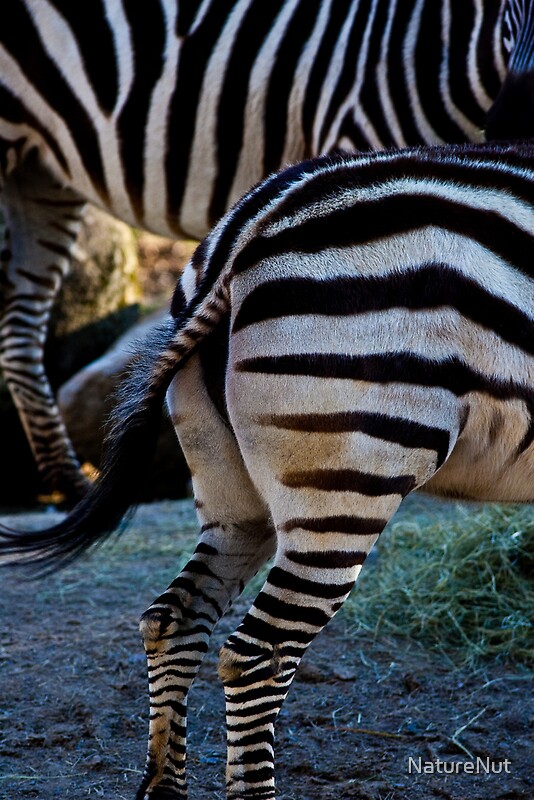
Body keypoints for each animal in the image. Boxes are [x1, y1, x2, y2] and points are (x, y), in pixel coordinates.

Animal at [1, 140, 534, 799]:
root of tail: (246, 234)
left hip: (235, 496)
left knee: (173, 620)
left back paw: (164, 788)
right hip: (345, 486)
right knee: (258, 653)